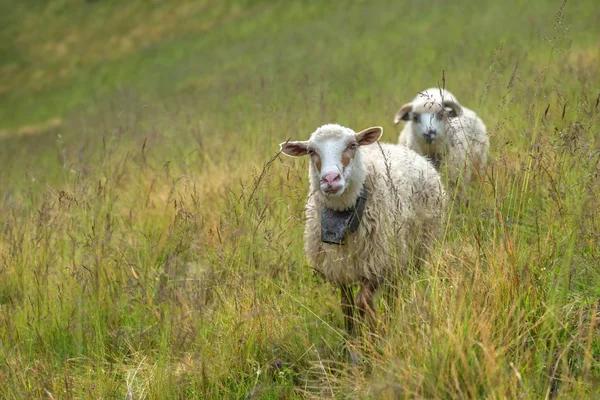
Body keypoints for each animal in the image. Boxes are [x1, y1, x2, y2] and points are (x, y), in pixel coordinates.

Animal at [278, 124, 446, 334]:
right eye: (311, 151)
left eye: (352, 145)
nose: (330, 179)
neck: (343, 213)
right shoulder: (339, 268)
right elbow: (347, 305)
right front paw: (351, 336)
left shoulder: (378, 263)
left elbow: (362, 301)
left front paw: (372, 334)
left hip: (416, 249)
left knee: (395, 292)